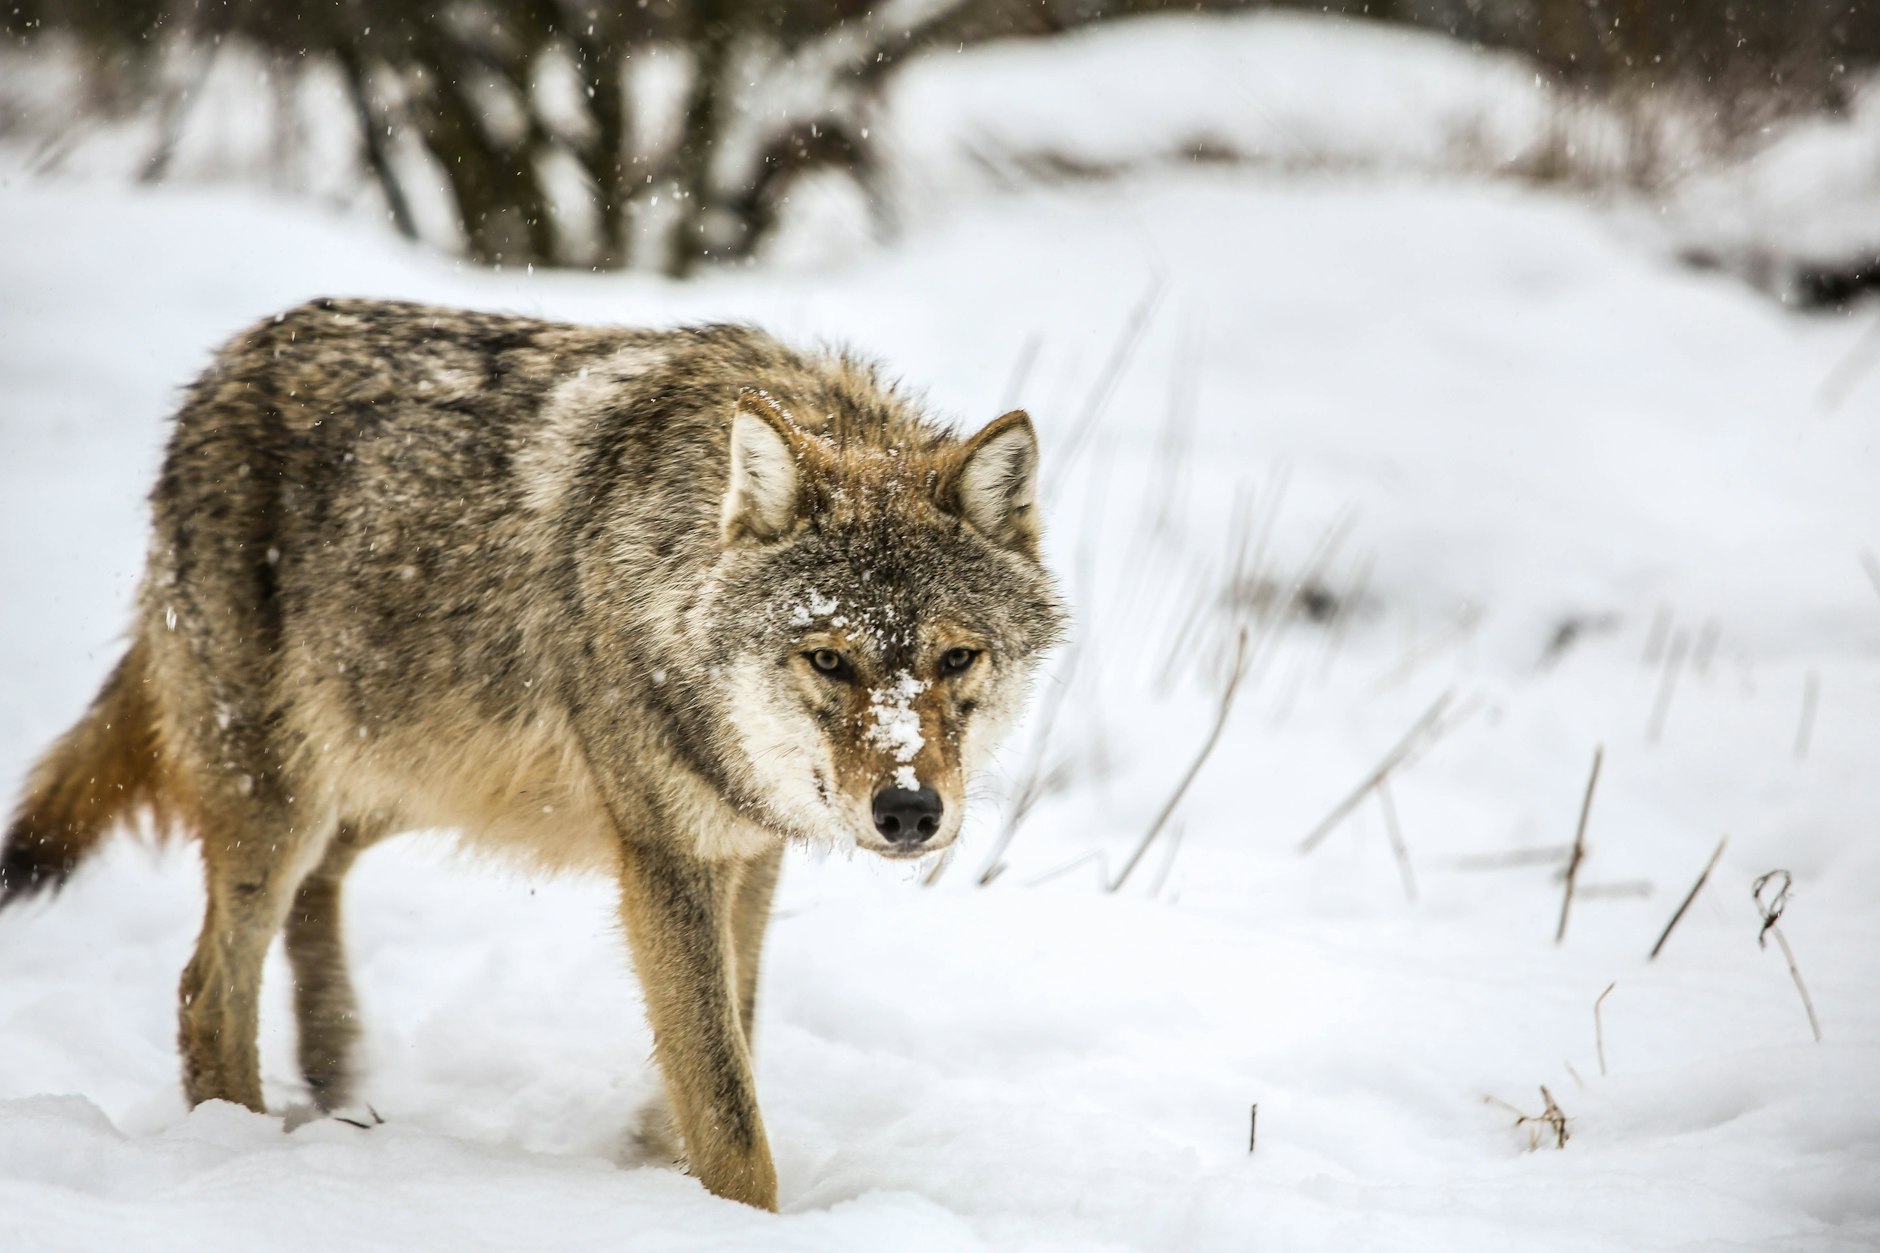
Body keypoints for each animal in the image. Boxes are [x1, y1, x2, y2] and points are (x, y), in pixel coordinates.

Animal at [0, 298, 1065, 1210]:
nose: (909, 812)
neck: (669, 564)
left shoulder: (747, 848)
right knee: (205, 989)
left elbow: (734, 1031)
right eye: (830, 658)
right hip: (284, 801)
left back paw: (335, 1078)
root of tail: (224, 366)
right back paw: (243, 1141)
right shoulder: (665, 857)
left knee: (316, 892)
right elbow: (728, 1105)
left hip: (398, 776)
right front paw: (732, 1212)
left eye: (956, 656)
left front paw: (654, 1155)